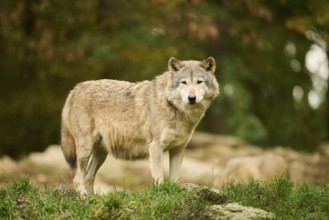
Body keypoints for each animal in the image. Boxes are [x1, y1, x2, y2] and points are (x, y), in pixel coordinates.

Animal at [60, 56, 219, 194]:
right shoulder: (155, 148)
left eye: (199, 82)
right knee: (77, 178)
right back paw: (83, 198)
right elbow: (159, 179)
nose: (191, 98)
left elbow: (174, 180)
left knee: (88, 177)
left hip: (101, 154)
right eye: (184, 82)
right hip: (85, 149)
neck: (172, 107)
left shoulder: (178, 149)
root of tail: (75, 89)